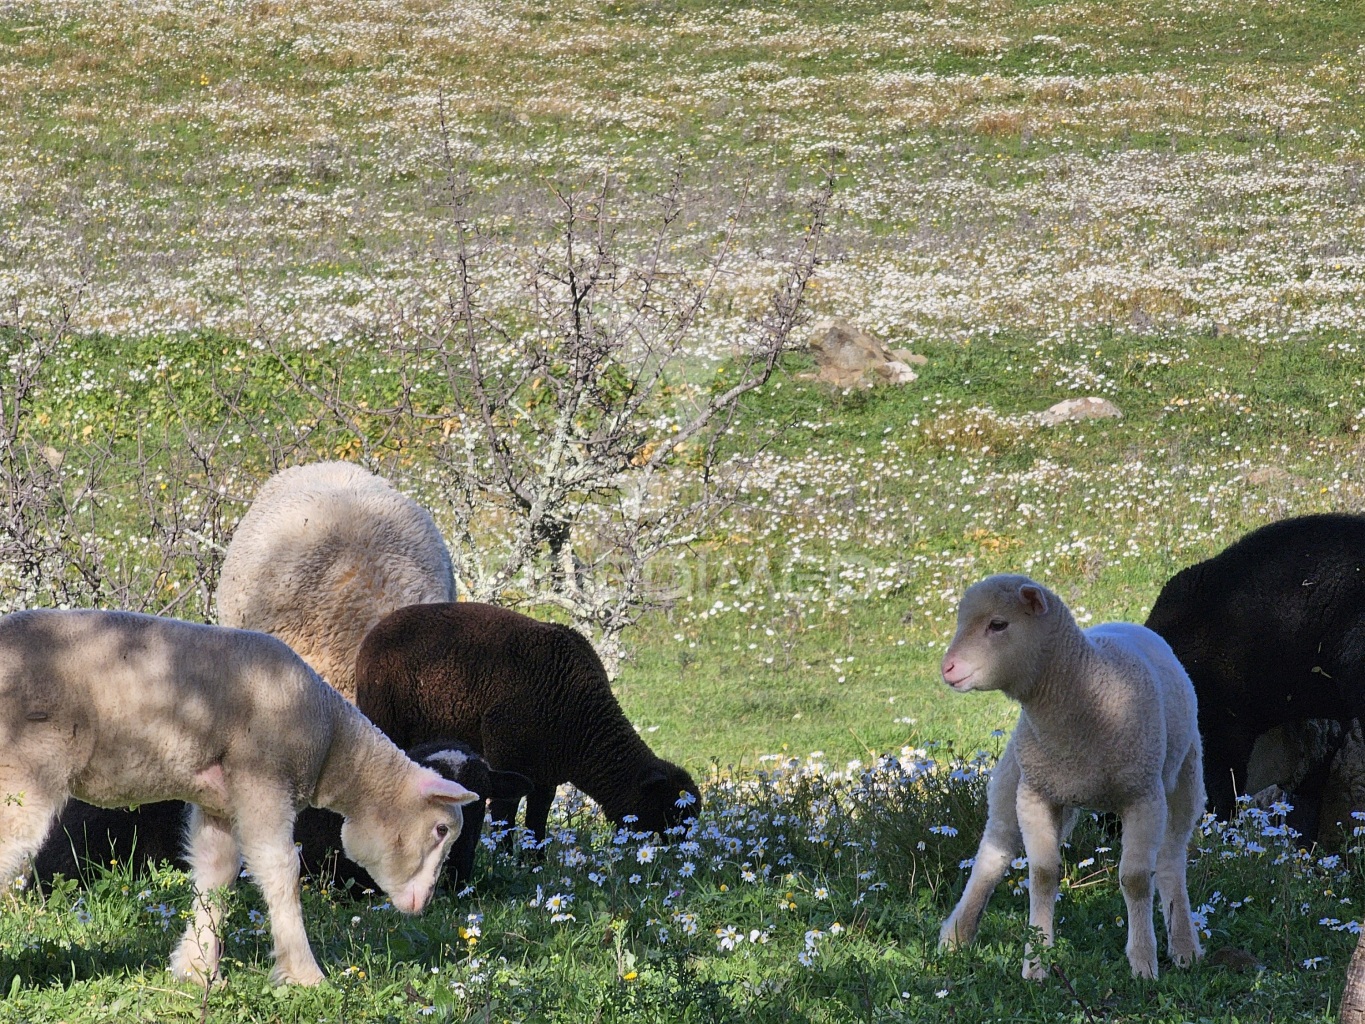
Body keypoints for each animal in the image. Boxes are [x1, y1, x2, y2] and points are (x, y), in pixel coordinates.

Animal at [0, 609, 477, 987]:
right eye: (441, 829)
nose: (424, 904)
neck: (332, 741)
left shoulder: (219, 800)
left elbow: (217, 874)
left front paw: (196, 968)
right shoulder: (261, 779)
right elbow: (280, 870)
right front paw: (305, 975)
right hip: (24, 771)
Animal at [355, 601, 701, 846]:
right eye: (671, 811)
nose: (682, 851)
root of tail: (375, 633)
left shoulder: (546, 777)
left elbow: (537, 823)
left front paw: (533, 863)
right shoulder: (507, 761)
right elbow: (505, 816)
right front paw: (504, 857)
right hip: (386, 722)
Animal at [937, 575, 1204, 981]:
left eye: (998, 624)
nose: (948, 668)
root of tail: (1127, 624)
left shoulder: (1143, 795)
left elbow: (1135, 880)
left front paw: (1143, 962)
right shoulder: (1035, 795)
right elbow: (1043, 875)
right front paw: (1036, 963)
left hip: (1184, 777)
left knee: (1172, 861)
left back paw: (1184, 946)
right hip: (1020, 776)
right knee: (994, 851)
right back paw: (957, 934)